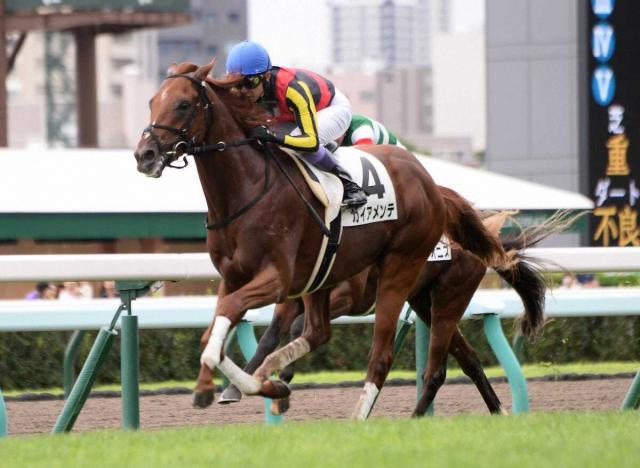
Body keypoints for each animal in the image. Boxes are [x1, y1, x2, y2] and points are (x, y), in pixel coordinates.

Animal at [134, 60, 510, 418]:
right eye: (151, 102)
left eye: (183, 104)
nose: (144, 155)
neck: (249, 189)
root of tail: (432, 185)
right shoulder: (236, 278)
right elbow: (215, 331)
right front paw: (225, 388)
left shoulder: (279, 279)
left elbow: (234, 316)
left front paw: (252, 386)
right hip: (396, 293)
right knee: (452, 356)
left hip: (411, 276)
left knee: (385, 356)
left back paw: (360, 417)